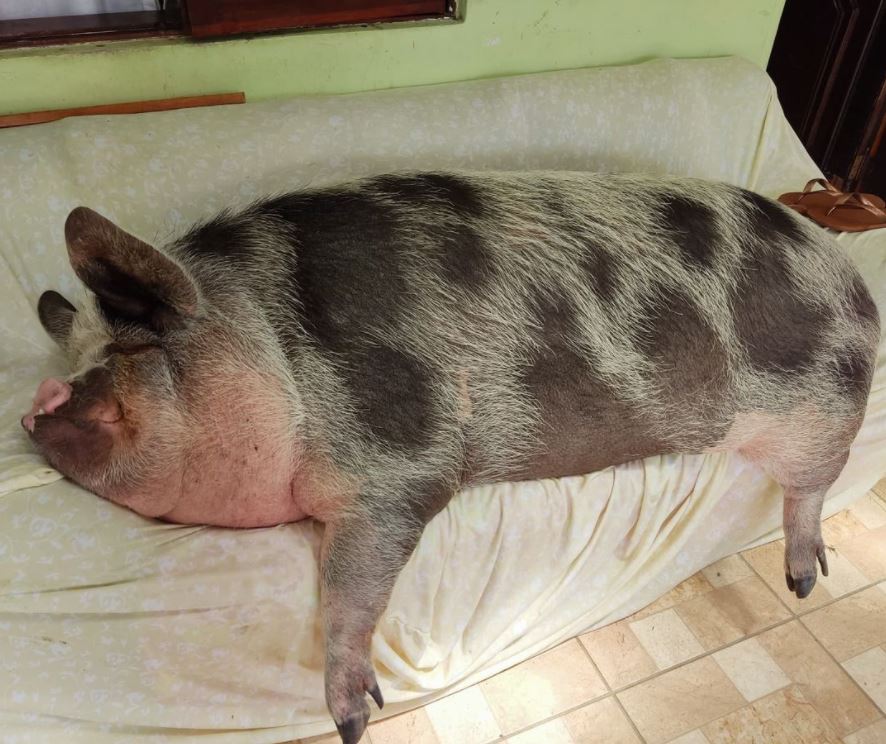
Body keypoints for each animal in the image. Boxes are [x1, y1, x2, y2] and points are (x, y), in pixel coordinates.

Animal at [23, 171, 879, 744]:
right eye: (74, 354)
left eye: (129, 347)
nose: (40, 400)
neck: (271, 350)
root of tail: (852, 277)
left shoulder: (401, 458)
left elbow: (353, 585)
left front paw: (353, 720)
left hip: (827, 410)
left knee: (815, 489)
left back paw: (806, 580)